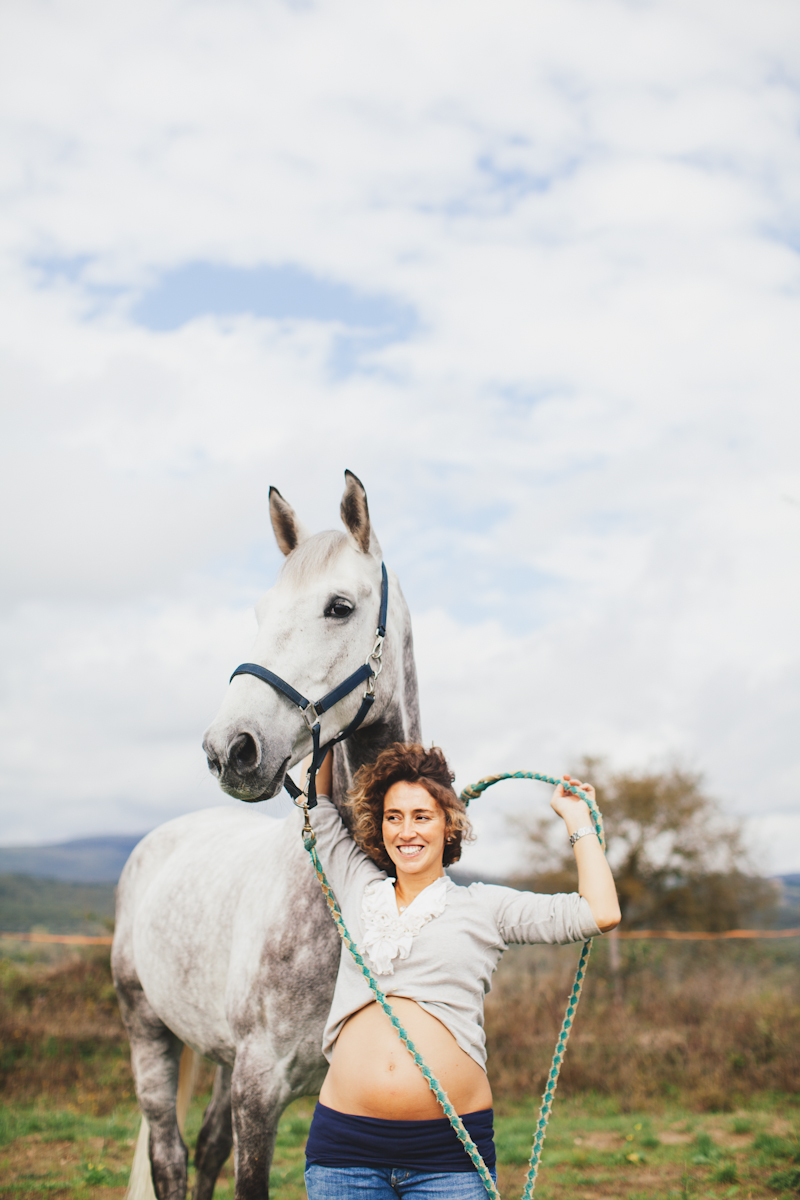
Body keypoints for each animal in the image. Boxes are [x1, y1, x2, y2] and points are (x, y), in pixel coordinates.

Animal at [113, 472, 424, 1200]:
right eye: (259, 613)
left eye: (339, 606)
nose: (230, 749)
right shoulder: (260, 1090)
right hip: (150, 1035)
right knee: (170, 1158)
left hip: (221, 1057)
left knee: (203, 1151)